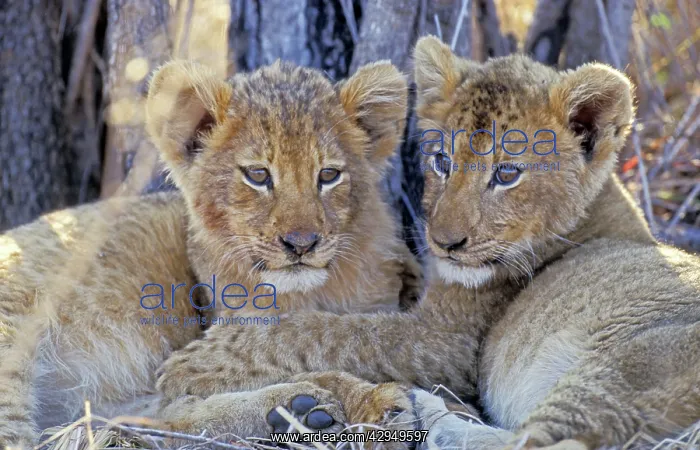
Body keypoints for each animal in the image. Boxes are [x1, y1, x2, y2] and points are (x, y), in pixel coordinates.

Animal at [0, 59, 420, 448]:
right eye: (258, 175)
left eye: (329, 175)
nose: (301, 243)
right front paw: (370, 400)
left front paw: (372, 403)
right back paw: (300, 407)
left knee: (158, 419)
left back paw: (298, 408)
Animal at [158, 37, 699, 450]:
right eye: (441, 160)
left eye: (507, 173)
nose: (445, 243)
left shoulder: (446, 342)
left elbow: (329, 330)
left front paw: (197, 363)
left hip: (625, 365)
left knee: (549, 442)